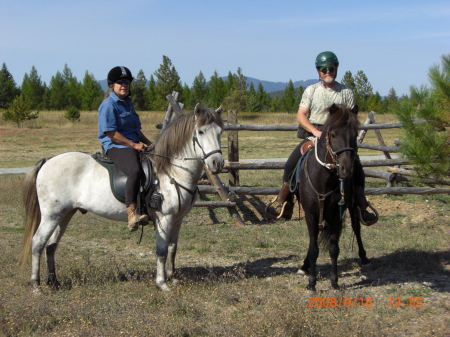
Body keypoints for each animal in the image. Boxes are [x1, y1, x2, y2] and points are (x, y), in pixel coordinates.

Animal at [20, 103, 224, 290]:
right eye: (201, 132)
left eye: (220, 131)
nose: (217, 163)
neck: (171, 171)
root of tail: (48, 161)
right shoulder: (164, 219)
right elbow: (161, 250)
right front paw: (161, 283)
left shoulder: (177, 220)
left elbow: (173, 249)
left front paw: (172, 277)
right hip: (51, 215)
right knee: (38, 242)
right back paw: (36, 285)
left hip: (65, 214)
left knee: (51, 245)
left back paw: (54, 282)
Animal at [298, 103, 368, 290]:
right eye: (333, 134)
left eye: (355, 135)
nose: (346, 169)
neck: (324, 179)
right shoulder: (311, 215)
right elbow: (313, 248)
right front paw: (312, 282)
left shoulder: (337, 214)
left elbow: (334, 248)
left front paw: (334, 281)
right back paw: (304, 266)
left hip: (352, 206)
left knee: (356, 227)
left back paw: (364, 256)